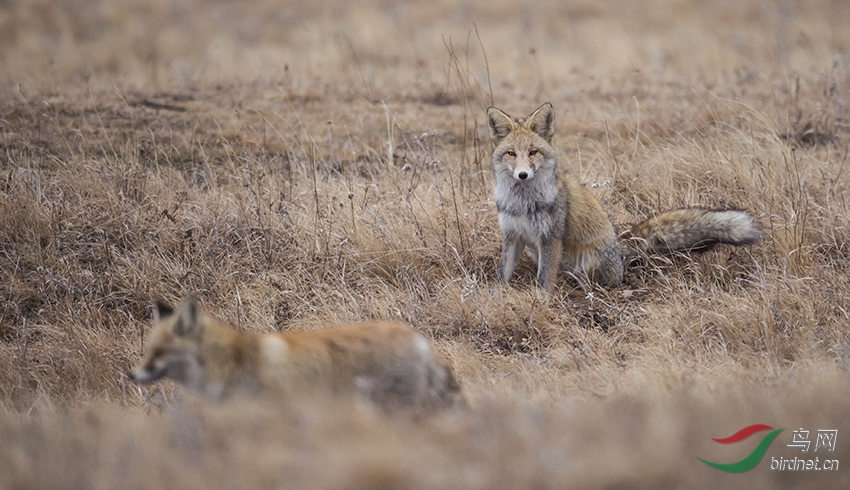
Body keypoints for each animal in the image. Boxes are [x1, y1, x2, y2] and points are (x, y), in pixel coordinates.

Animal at [486, 100, 760, 290]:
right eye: (511, 153)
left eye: (533, 152)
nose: (522, 175)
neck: (522, 203)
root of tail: (618, 248)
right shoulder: (512, 236)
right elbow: (501, 275)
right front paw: (495, 299)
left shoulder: (549, 238)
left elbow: (544, 282)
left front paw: (540, 304)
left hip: (589, 262)